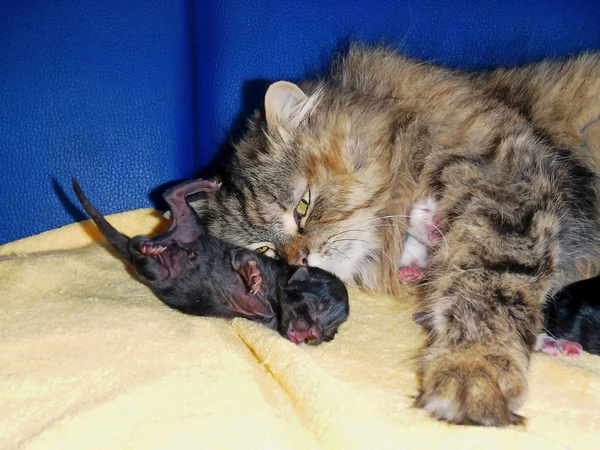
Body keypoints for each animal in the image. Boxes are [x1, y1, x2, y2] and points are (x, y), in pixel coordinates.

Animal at [72, 178, 350, 344]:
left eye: (328, 334)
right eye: (315, 307)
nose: (313, 335)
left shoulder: (268, 318)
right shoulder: (253, 258)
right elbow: (243, 258)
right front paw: (253, 274)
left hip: (185, 232)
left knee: (172, 204)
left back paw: (155, 245)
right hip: (183, 238)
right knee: (168, 197)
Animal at [190, 44, 600, 426]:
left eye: (302, 206)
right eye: (266, 250)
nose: (299, 260)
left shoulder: (508, 185)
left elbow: (488, 286)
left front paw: (472, 367)